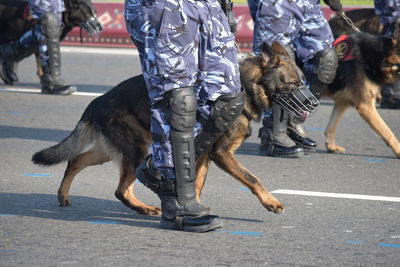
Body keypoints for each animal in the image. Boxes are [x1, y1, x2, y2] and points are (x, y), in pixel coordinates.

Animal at [32, 42, 306, 218]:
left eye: (302, 82)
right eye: (293, 84)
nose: (310, 106)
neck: (247, 85)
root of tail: (97, 100)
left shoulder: (204, 154)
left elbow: (196, 185)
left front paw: (191, 209)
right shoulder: (222, 154)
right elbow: (252, 178)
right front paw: (271, 202)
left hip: (110, 150)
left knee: (75, 161)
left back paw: (63, 195)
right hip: (138, 149)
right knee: (120, 189)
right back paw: (143, 208)